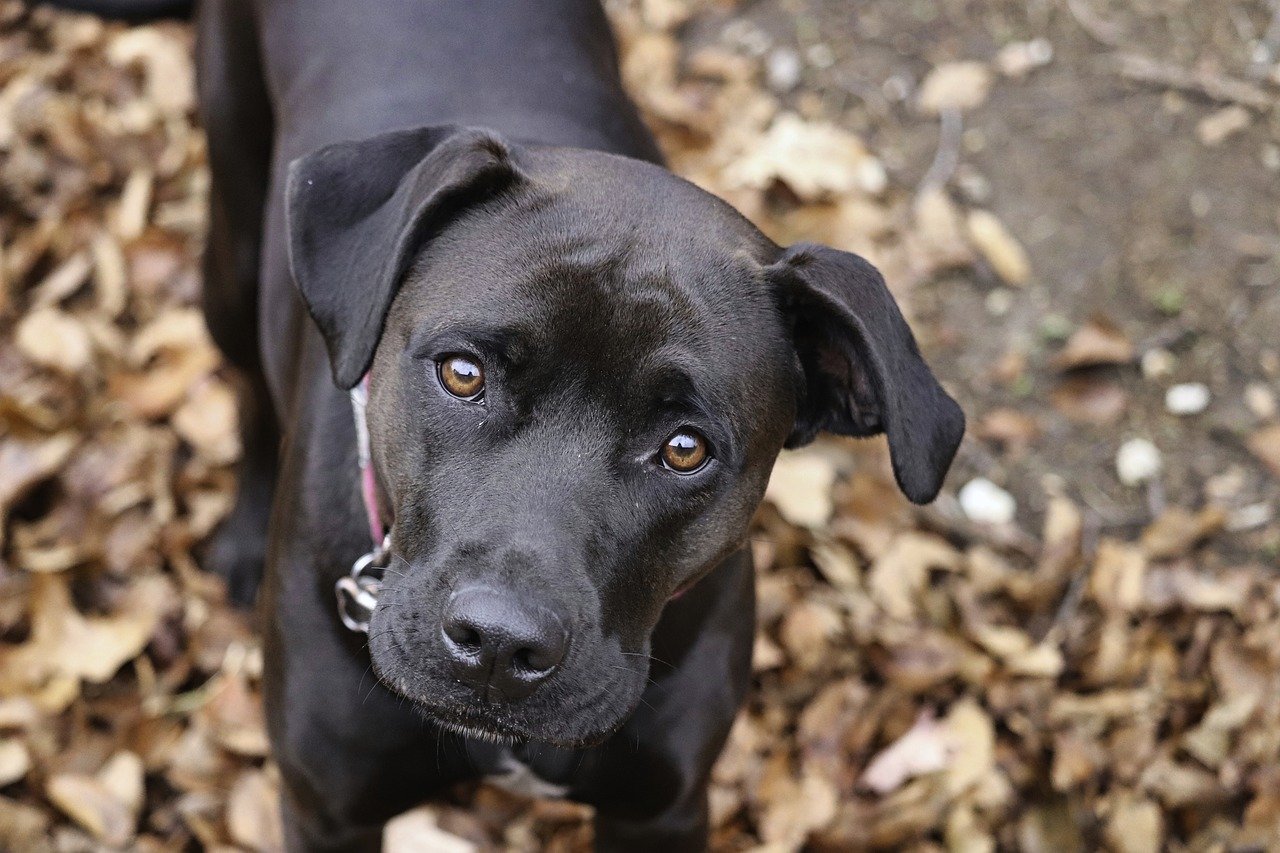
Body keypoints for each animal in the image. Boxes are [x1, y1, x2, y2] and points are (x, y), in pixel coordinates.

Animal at [40, 0, 962, 845]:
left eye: (685, 449)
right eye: (462, 373)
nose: (497, 644)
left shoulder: (661, 809)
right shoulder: (326, 807)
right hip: (233, 244)